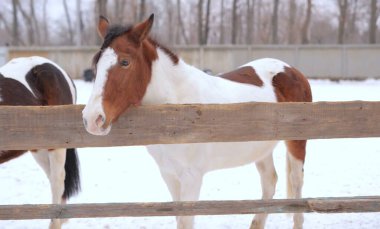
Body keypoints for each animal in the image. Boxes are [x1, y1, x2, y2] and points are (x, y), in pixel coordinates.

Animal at [82, 14, 312, 229]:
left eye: (125, 62)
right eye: (96, 65)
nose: (92, 119)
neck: (177, 109)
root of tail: (291, 70)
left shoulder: (191, 177)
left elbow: (186, 221)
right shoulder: (169, 174)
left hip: (296, 143)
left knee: (297, 182)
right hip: (261, 149)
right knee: (269, 182)